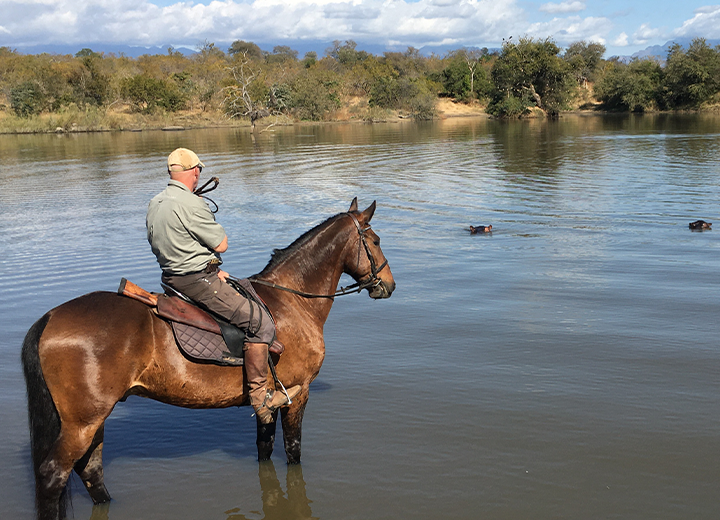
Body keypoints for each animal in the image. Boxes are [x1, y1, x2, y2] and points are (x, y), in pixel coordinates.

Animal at [21, 198, 395, 520]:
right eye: (375, 240)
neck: (293, 301)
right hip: (82, 422)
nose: (389, 285)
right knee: (54, 474)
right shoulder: (298, 391)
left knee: (90, 469)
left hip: (93, 420)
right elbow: (293, 450)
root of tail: (50, 318)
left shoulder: (270, 398)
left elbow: (265, 446)